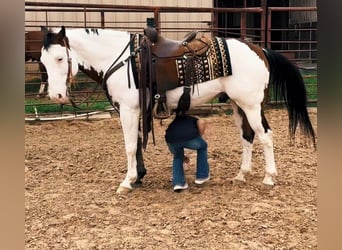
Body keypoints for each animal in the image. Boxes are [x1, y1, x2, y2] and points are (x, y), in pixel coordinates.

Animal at [39, 25, 316, 193]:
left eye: (60, 58)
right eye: (43, 61)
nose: (56, 95)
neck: (122, 61)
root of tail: (259, 49)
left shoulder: (128, 110)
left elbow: (129, 146)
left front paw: (127, 182)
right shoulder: (135, 111)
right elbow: (136, 144)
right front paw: (139, 176)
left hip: (252, 105)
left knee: (265, 136)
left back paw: (269, 177)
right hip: (239, 106)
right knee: (247, 136)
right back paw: (241, 174)